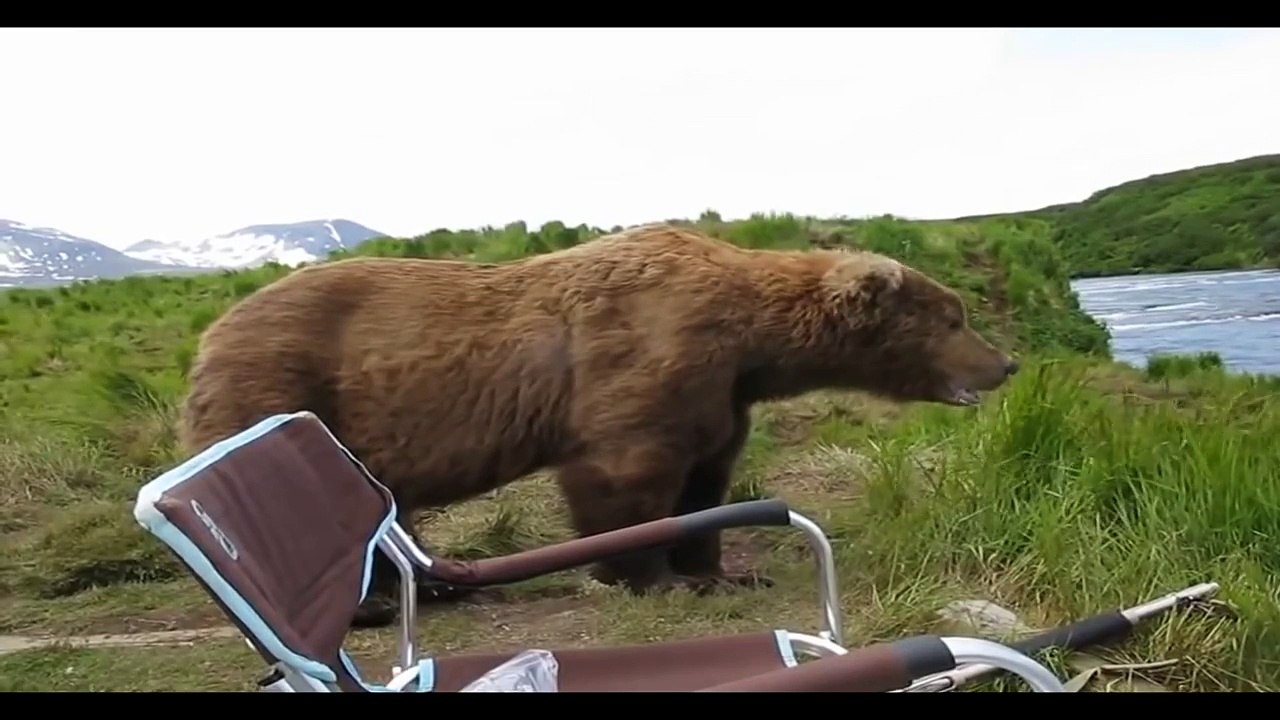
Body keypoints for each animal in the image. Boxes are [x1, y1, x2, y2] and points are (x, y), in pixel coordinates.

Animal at [177, 222, 1019, 628]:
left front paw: (720, 569)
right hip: (284, 390)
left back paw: (437, 587)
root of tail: (209, 334)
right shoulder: (646, 357)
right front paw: (645, 576)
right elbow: (626, 475)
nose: (1005, 363)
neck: (752, 343)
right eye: (954, 317)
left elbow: (707, 479)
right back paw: (376, 606)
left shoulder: (722, 395)